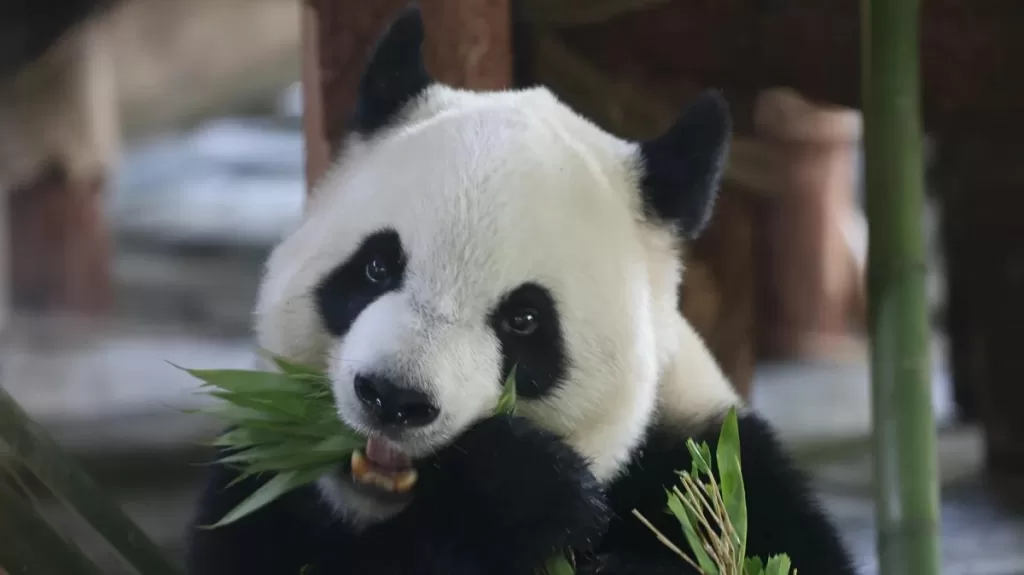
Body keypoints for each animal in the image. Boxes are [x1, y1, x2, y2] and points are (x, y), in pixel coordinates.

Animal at [188, 8, 857, 575]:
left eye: (525, 320)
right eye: (377, 267)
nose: (394, 398)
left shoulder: (718, 465)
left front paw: (508, 489)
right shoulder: (258, 480)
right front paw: (509, 500)